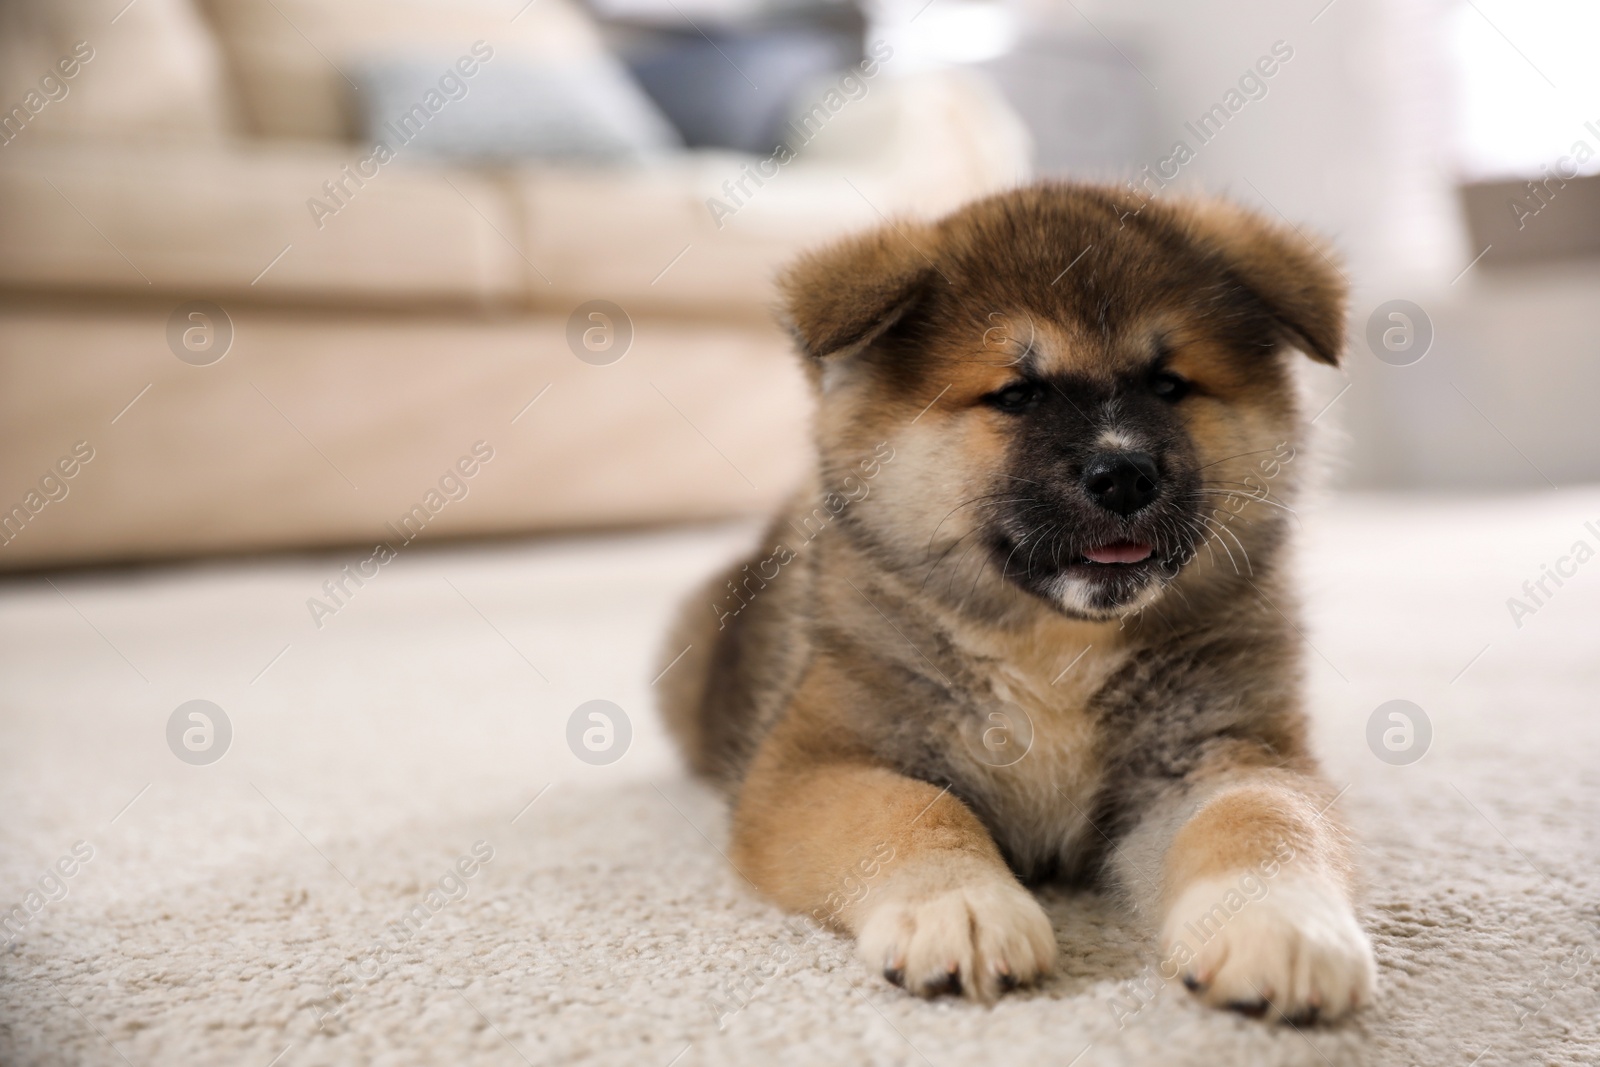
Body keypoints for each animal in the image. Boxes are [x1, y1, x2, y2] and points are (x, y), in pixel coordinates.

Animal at [652, 185, 1376, 1023]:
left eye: (1168, 385)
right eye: (1019, 395)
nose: (1124, 474)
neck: (1054, 648)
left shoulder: (1228, 751)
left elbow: (1264, 820)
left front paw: (1280, 921)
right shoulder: (816, 764)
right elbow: (911, 810)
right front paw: (958, 905)